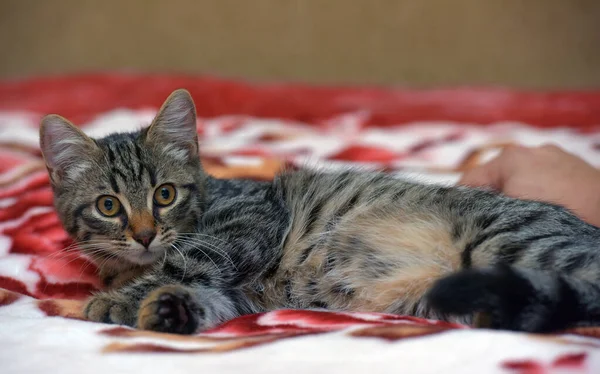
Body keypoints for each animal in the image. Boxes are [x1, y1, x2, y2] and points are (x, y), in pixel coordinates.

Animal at [41, 89, 600, 334]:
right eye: (109, 206)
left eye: (164, 196)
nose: (143, 235)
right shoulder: (239, 295)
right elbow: (206, 298)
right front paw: (166, 308)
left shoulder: (245, 225)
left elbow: (188, 263)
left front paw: (109, 302)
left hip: (512, 242)